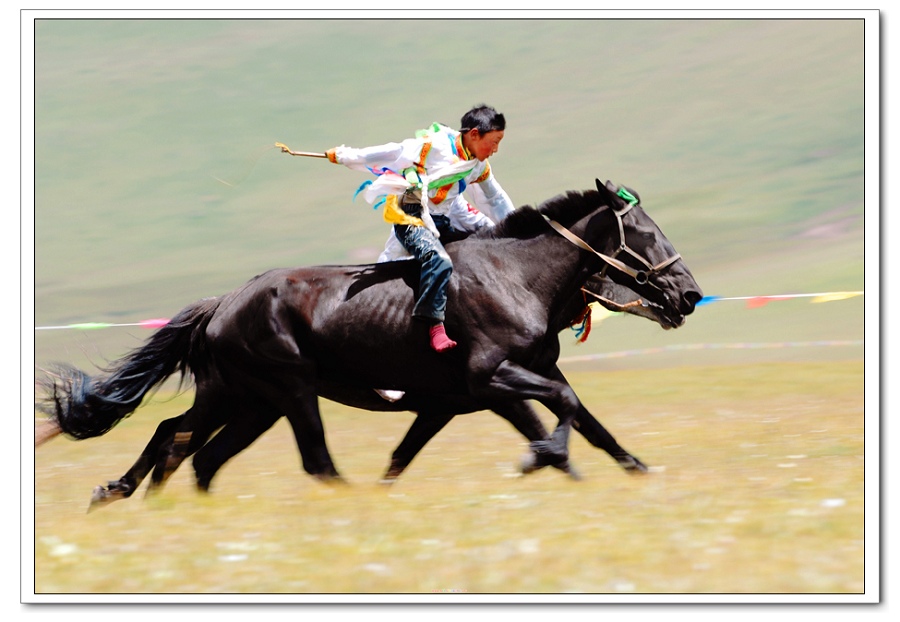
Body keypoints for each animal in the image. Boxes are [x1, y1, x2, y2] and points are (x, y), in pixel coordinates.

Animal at [40, 179, 704, 508]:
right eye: (643, 233)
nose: (689, 295)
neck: (517, 277)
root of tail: (222, 305)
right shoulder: (491, 380)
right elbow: (559, 422)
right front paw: (538, 461)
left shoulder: (465, 398)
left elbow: (589, 426)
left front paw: (636, 473)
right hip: (288, 392)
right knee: (306, 460)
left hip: (246, 399)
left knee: (184, 443)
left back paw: (123, 494)